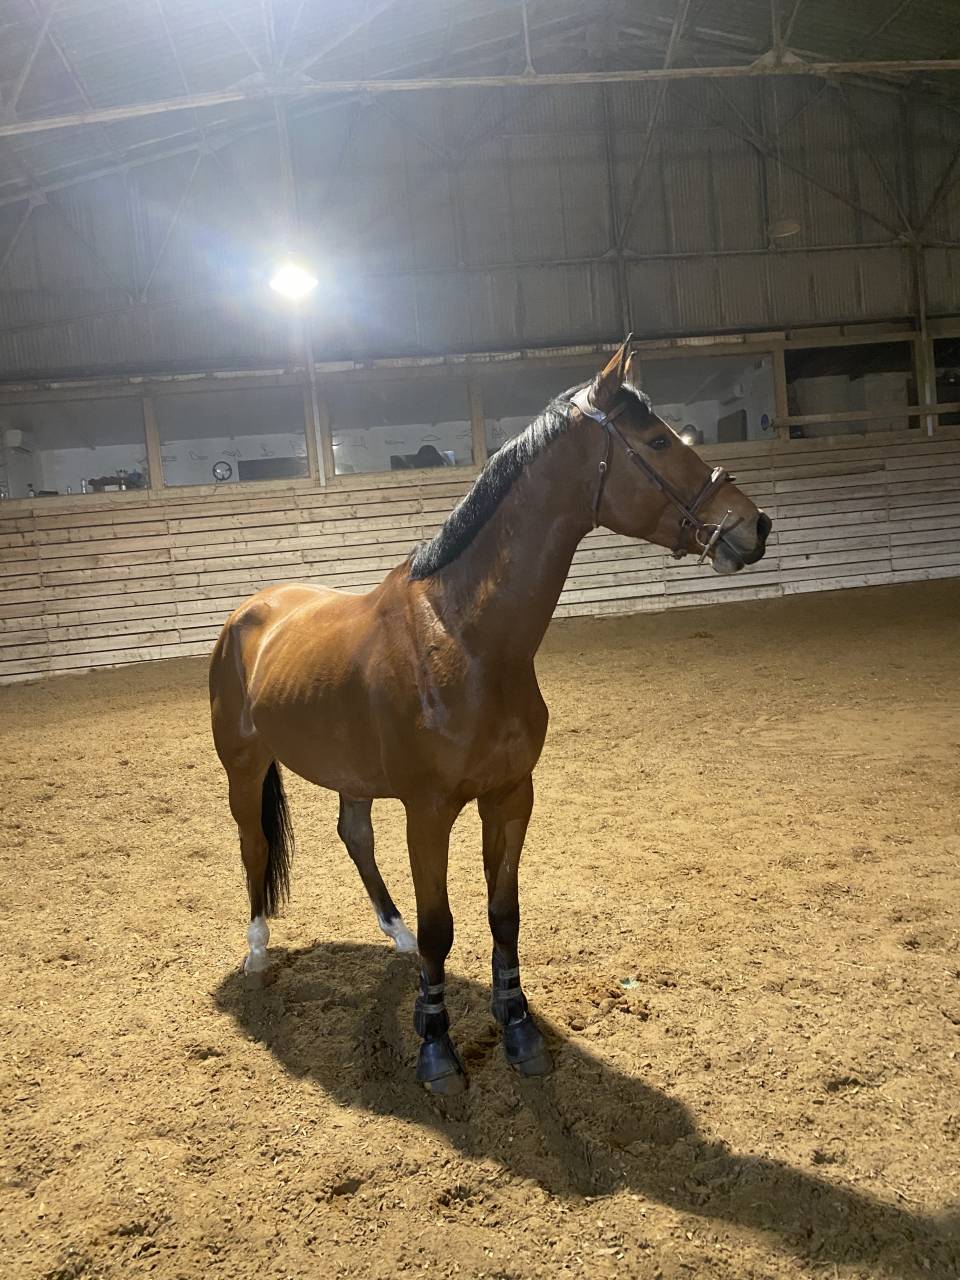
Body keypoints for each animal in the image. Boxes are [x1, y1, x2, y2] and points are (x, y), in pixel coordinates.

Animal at [209, 338, 772, 1094]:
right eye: (657, 440)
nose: (753, 525)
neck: (464, 639)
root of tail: (250, 612)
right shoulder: (428, 810)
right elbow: (443, 924)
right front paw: (436, 1048)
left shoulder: (510, 795)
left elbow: (504, 914)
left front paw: (518, 1028)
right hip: (243, 766)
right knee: (254, 844)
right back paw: (258, 950)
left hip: (351, 772)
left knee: (354, 837)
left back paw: (394, 936)